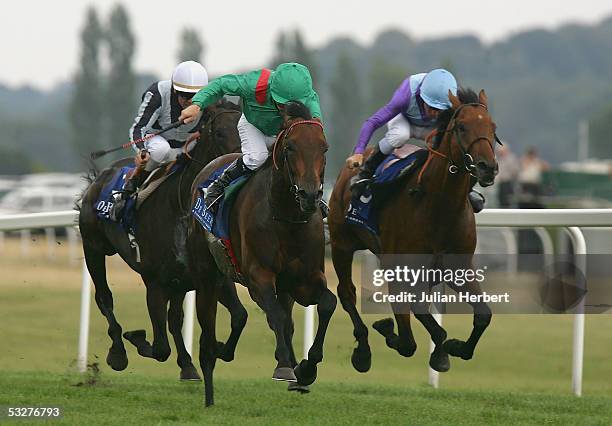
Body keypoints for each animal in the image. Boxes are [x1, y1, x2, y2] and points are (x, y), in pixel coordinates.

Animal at [79, 100, 246, 380]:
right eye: (219, 132)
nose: (238, 162)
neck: (182, 206)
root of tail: (100, 177)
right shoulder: (155, 282)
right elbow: (159, 348)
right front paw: (135, 338)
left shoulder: (212, 276)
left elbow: (240, 316)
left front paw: (218, 349)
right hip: (93, 247)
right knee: (104, 298)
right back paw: (118, 352)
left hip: (179, 282)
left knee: (175, 318)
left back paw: (187, 365)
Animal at [189, 101, 338, 404]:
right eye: (290, 146)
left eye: (324, 147)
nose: (309, 195)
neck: (286, 218)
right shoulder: (258, 276)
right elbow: (276, 316)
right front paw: (284, 367)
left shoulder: (305, 280)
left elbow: (327, 304)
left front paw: (306, 368)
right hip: (207, 272)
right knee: (209, 332)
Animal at [330, 89, 498, 372]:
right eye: (462, 127)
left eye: (492, 127)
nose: (488, 167)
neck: (439, 206)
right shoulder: (398, 268)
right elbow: (409, 339)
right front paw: (389, 332)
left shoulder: (458, 268)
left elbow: (483, 315)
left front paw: (453, 348)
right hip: (341, 243)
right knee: (347, 293)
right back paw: (362, 351)